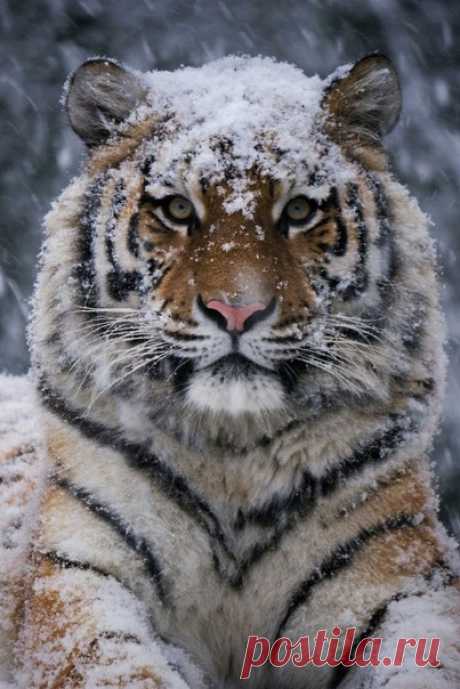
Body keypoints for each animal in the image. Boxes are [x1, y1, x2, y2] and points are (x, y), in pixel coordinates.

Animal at [0, 49, 460, 688]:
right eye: (176, 209)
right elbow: (118, 665)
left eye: (298, 210)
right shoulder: (77, 573)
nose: (236, 310)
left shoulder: (398, 577)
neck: (233, 455)